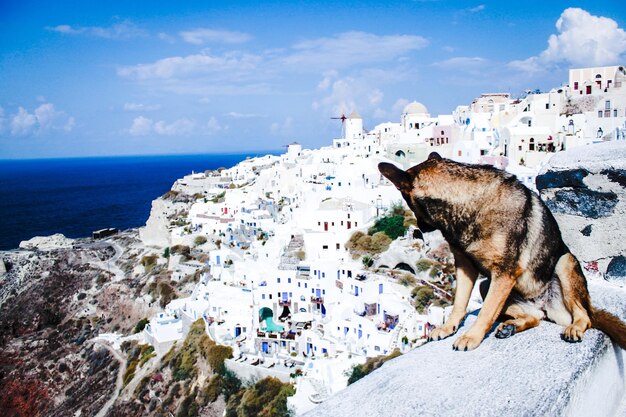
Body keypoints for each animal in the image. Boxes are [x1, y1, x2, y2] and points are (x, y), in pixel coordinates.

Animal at [376, 151, 624, 350]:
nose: (421, 227)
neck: (468, 204)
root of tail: (544, 305)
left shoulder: (504, 273)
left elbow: (486, 311)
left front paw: (472, 336)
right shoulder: (465, 267)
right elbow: (459, 303)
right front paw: (449, 327)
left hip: (565, 264)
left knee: (584, 316)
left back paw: (575, 327)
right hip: (488, 285)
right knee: (534, 318)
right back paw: (512, 326)